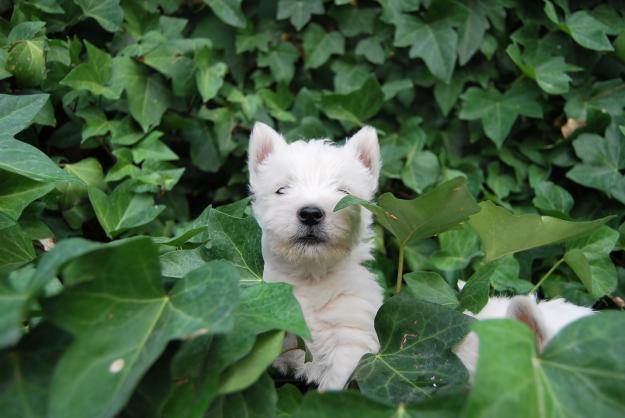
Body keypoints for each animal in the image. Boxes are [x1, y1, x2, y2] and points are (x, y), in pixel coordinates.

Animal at [246, 122, 382, 390]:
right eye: (281, 190)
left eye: (344, 192)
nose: (310, 213)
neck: (310, 275)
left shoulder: (352, 337)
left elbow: (337, 384)